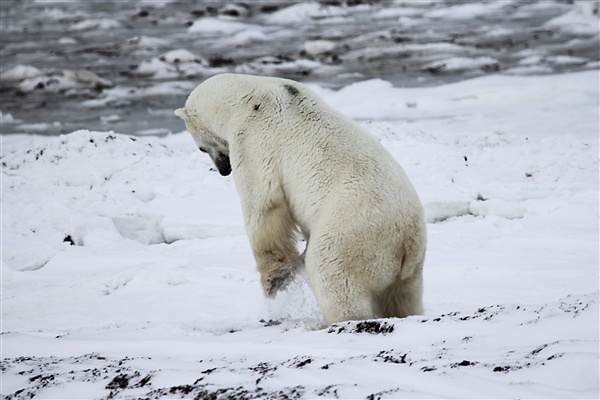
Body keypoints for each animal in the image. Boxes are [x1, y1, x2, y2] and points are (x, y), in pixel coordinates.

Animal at [175, 74, 426, 324]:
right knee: (403, 295)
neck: (249, 96)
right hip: (411, 266)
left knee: (333, 274)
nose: (223, 169)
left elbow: (263, 207)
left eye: (201, 148)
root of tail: (407, 242)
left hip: (351, 232)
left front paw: (275, 282)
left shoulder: (253, 140)